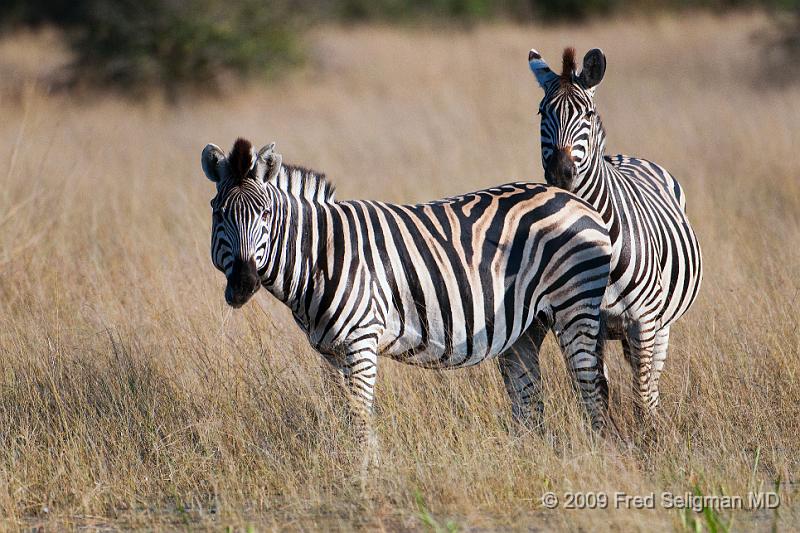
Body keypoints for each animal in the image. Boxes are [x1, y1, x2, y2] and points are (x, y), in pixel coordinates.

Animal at [202, 138, 612, 466]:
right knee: (529, 402)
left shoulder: (361, 339)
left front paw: (366, 480)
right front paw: (359, 471)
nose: (243, 285)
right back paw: (530, 461)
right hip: (527, 328)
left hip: (575, 305)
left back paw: (599, 453)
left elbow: (359, 418)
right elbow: (345, 415)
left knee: (591, 387)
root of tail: (574, 199)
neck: (320, 256)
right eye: (218, 213)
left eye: (265, 214)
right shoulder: (329, 350)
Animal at [528, 47, 704, 422]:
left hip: (661, 325)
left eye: (588, 113)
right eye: (542, 112)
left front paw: (647, 435)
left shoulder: (643, 322)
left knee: (650, 382)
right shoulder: (574, 324)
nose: (560, 174)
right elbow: (595, 391)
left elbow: (641, 394)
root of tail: (622, 155)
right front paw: (601, 433)